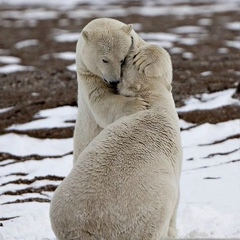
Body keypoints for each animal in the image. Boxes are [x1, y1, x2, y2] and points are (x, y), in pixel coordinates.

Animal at [49, 40, 183, 238]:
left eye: (127, 58)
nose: (135, 46)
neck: (151, 102)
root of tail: (89, 228)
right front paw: (174, 230)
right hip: (145, 213)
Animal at [73, 17, 148, 163]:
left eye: (122, 59)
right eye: (104, 60)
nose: (114, 81)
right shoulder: (88, 75)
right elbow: (101, 102)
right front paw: (138, 105)